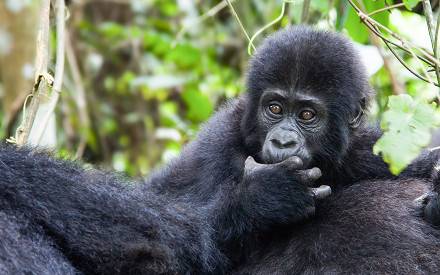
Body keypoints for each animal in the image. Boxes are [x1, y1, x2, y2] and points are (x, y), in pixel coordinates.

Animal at [0, 26, 438, 274]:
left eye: (307, 115)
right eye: (274, 108)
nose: (282, 140)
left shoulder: (357, 148)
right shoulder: (219, 143)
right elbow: (181, 245)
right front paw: (260, 200)